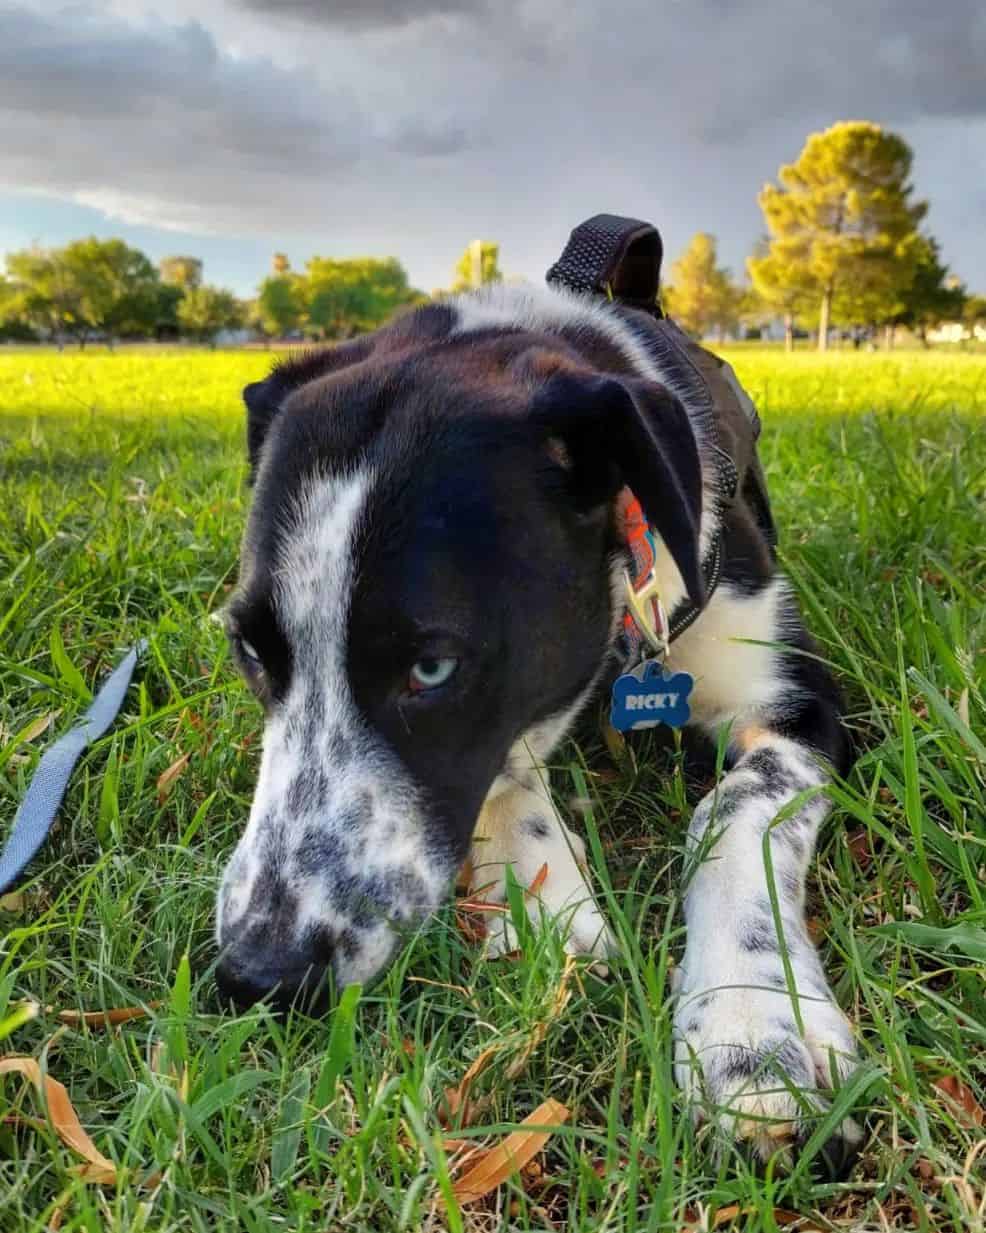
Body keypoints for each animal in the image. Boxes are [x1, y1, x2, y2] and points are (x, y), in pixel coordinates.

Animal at [218, 217, 862, 1168]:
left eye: (432, 668)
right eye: (249, 649)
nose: (258, 971)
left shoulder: (800, 702)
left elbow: (734, 813)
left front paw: (751, 1023)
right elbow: (510, 766)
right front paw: (551, 902)